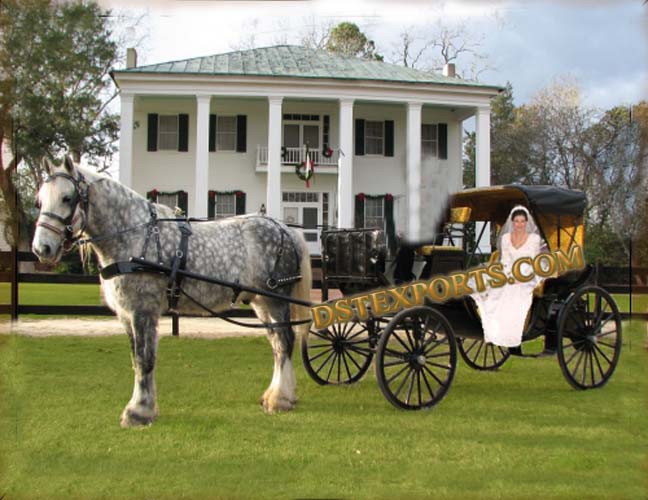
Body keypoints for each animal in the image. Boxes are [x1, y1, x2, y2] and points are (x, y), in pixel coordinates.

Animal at [32, 158, 312, 428]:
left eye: (67, 198)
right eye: (39, 200)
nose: (41, 248)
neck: (135, 235)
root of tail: (285, 228)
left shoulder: (143, 311)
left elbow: (145, 359)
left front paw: (138, 411)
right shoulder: (126, 315)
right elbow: (136, 360)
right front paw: (144, 407)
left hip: (276, 300)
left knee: (285, 340)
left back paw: (280, 399)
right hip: (261, 301)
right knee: (276, 343)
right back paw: (276, 395)